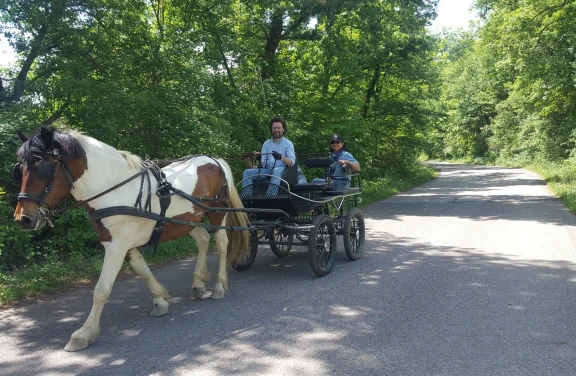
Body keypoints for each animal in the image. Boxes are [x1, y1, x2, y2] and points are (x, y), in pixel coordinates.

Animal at [12, 127, 251, 352]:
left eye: (44, 168)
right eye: (20, 170)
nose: (23, 218)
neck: (113, 189)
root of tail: (214, 159)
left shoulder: (116, 246)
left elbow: (101, 289)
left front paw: (84, 333)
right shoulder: (120, 244)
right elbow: (143, 271)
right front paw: (160, 300)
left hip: (217, 214)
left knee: (221, 245)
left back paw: (219, 287)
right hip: (189, 221)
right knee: (202, 239)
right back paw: (199, 282)